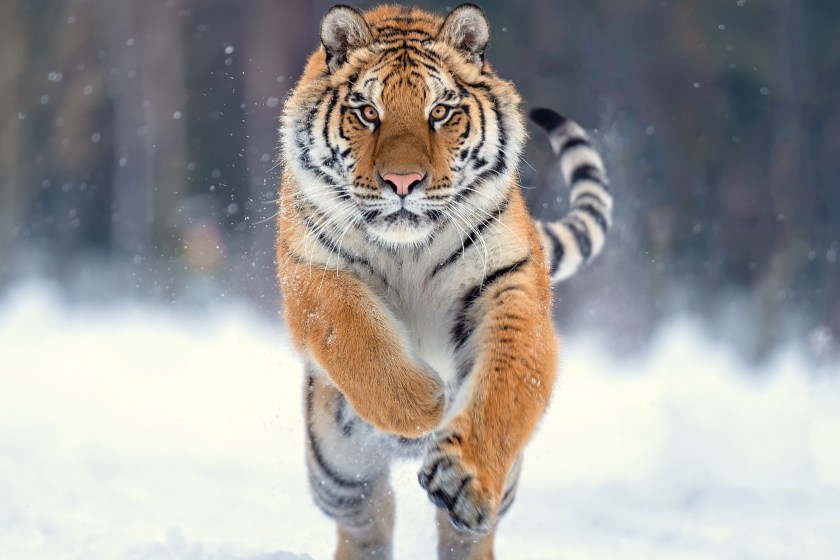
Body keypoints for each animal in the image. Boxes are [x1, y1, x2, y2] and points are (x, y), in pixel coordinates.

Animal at [276, 4, 612, 559]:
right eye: (368, 112)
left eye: (440, 112)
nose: (403, 183)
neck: (408, 249)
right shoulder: (312, 273)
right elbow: (355, 335)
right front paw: (424, 402)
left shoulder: (509, 283)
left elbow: (507, 383)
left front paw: (464, 476)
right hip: (338, 475)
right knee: (369, 518)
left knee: (461, 534)